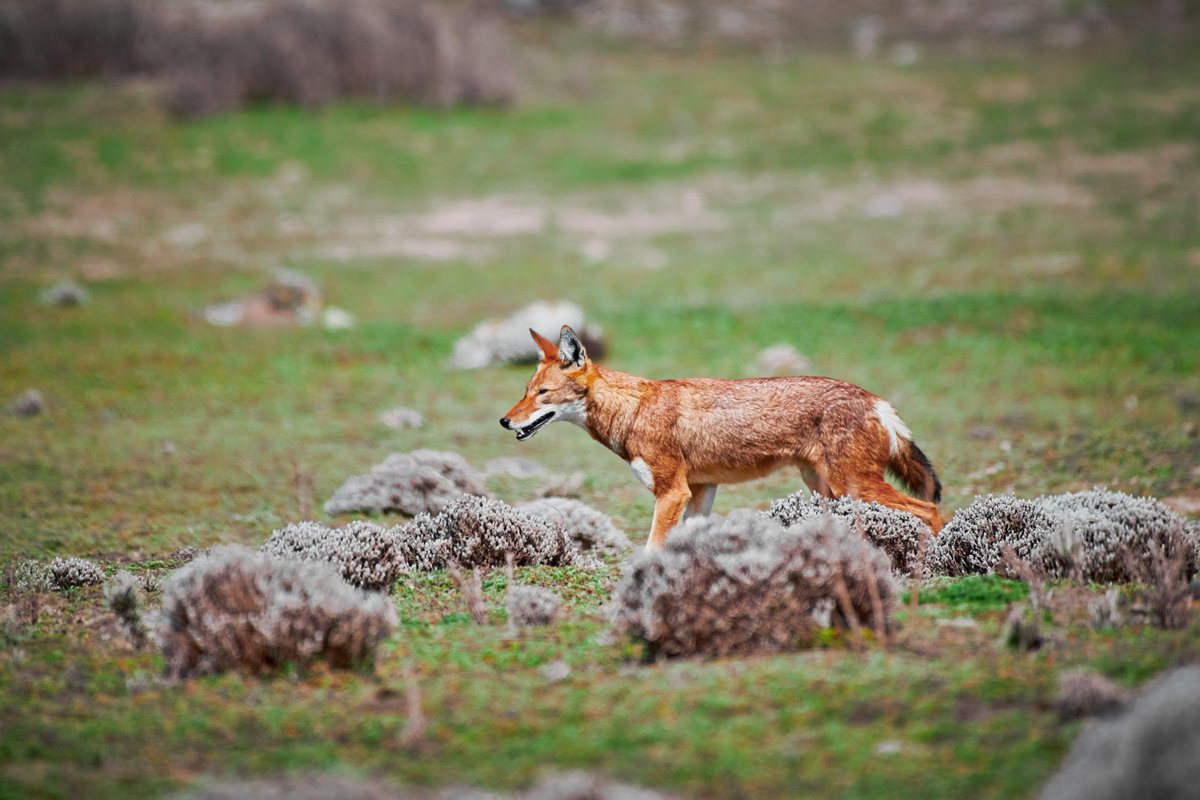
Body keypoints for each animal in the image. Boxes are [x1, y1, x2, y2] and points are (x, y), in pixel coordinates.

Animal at [501, 326, 943, 548]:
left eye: (542, 393)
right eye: (525, 390)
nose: (504, 421)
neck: (634, 410)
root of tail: (877, 401)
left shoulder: (673, 493)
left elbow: (652, 546)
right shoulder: (700, 492)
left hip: (852, 487)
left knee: (930, 509)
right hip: (828, 490)